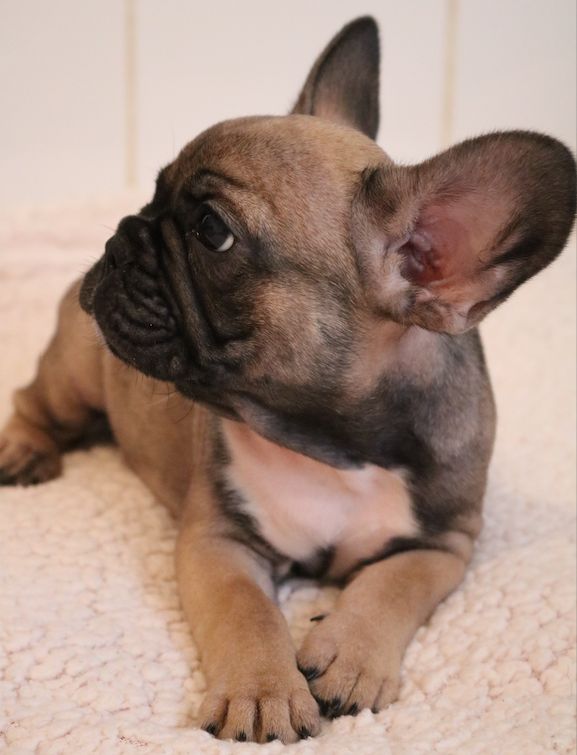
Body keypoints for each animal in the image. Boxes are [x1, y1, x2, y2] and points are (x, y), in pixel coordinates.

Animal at [1, 16, 575, 744]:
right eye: (153, 192)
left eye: (211, 232)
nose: (122, 236)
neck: (329, 441)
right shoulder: (221, 537)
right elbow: (247, 612)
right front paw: (263, 689)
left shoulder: (445, 540)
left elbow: (394, 584)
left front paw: (352, 655)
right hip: (76, 367)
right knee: (34, 400)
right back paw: (24, 449)